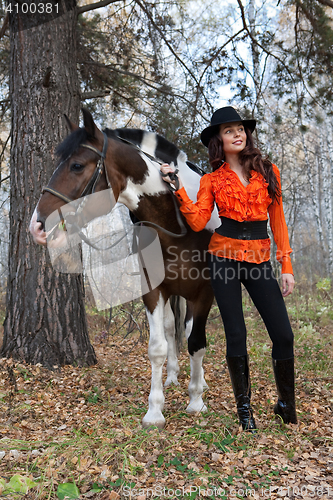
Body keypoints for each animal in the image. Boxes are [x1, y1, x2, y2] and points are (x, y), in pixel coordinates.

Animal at [29, 109, 219, 430]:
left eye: (77, 165)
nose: (38, 226)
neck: (176, 221)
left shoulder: (204, 293)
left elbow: (196, 343)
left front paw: (196, 401)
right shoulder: (153, 290)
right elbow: (157, 347)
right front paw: (155, 411)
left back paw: (199, 383)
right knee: (172, 329)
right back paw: (172, 377)